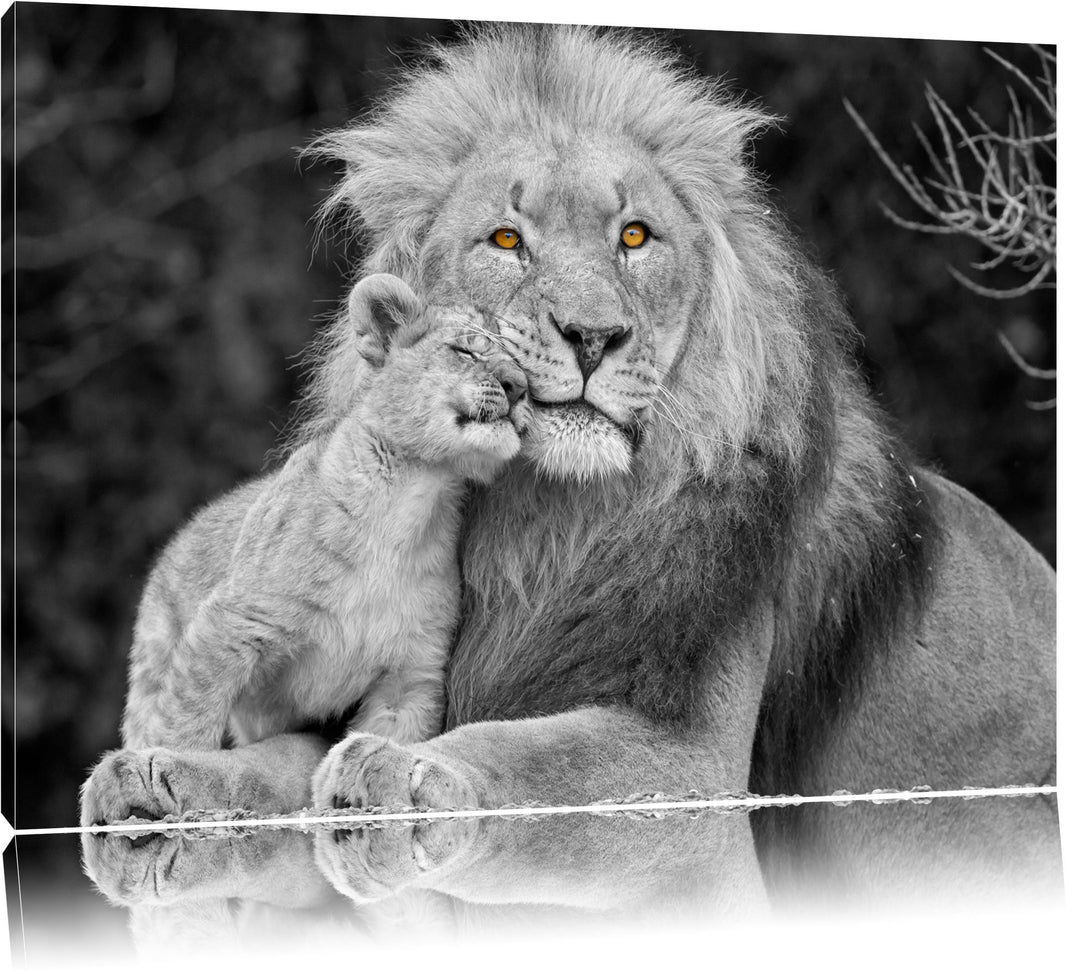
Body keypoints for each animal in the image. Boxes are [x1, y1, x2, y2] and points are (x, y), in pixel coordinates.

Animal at [82, 24, 1058, 914]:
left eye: (635, 236)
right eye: (506, 240)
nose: (594, 335)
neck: (548, 523)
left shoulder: (686, 752)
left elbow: (518, 749)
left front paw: (402, 770)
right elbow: (274, 758)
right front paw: (157, 773)